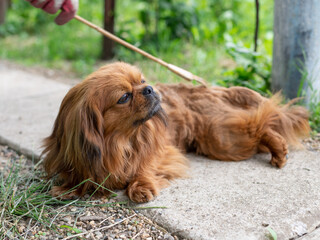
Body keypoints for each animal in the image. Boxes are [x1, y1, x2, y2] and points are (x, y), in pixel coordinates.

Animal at [41, 62, 308, 202]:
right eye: (124, 97)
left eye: (142, 81)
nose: (149, 88)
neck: (118, 142)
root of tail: (215, 89)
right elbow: (78, 175)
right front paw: (68, 188)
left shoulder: (160, 152)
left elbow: (143, 166)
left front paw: (140, 186)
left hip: (222, 139)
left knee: (263, 126)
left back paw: (278, 149)